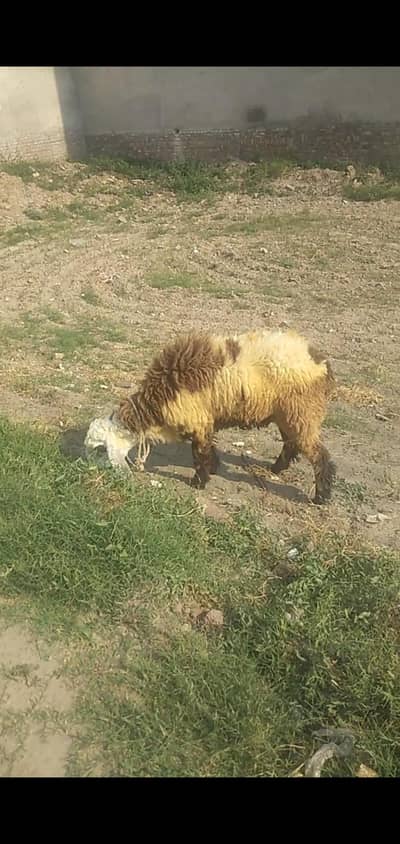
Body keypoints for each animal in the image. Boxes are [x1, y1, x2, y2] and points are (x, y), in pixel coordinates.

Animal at [115, 328, 336, 504]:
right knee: (291, 444)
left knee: (320, 456)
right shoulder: (205, 421)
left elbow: (200, 452)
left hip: (303, 414)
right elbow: (207, 449)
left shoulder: (199, 421)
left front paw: (199, 481)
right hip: (289, 416)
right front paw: (213, 468)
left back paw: (321, 496)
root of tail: (323, 364)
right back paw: (276, 468)